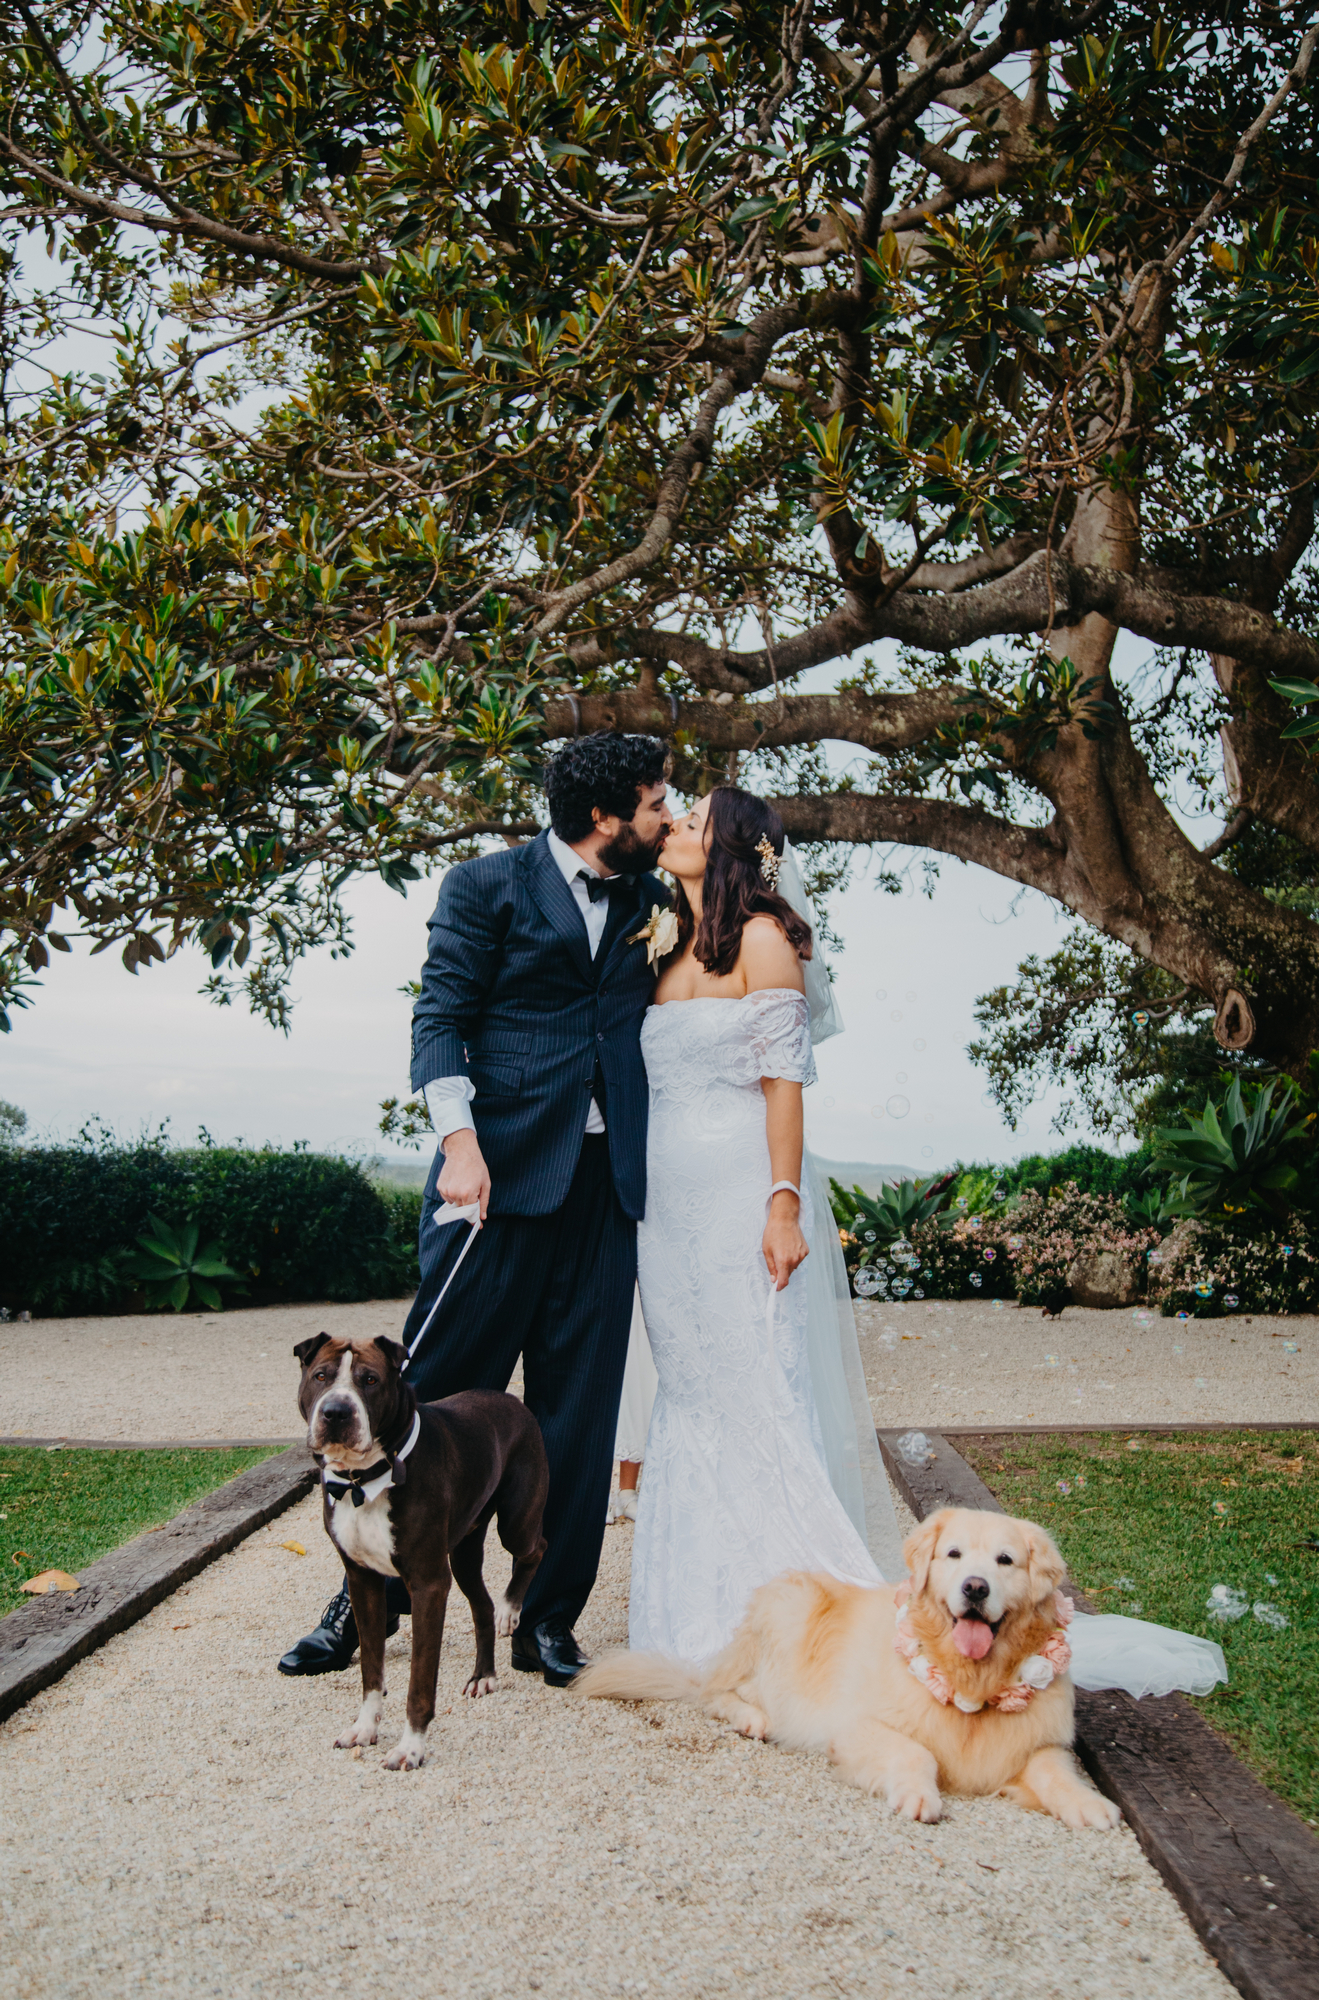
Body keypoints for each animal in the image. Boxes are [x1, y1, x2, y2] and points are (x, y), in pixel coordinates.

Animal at [295, 1336, 547, 1776]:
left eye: (370, 1380)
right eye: (321, 1376)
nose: (336, 1411)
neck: (363, 1480)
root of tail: (512, 1401)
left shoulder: (429, 1585)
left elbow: (419, 1681)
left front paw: (410, 1748)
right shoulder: (362, 1580)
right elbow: (371, 1668)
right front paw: (365, 1728)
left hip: (516, 1520)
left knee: (536, 1549)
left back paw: (511, 1609)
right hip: (464, 1553)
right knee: (480, 1604)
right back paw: (484, 1675)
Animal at [575, 1512, 1111, 1832]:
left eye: (1006, 1560)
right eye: (953, 1554)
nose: (975, 1588)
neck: (969, 1681)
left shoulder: (1039, 1741)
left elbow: (1054, 1771)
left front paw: (1088, 1804)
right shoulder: (859, 1727)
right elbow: (918, 1753)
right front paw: (918, 1795)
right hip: (787, 1614)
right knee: (715, 1689)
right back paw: (750, 1717)